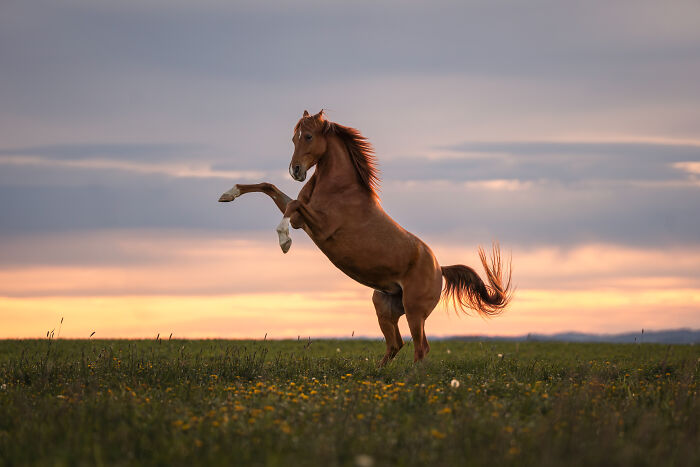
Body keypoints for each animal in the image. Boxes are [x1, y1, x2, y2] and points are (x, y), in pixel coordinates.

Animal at [216, 110, 512, 366]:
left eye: (308, 136)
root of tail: (440, 268)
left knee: (421, 348)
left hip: (415, 311)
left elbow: (292, 206)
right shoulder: (303, 221)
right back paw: (377, 374)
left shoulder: (321, 226)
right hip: (384, 305)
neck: (339, 188)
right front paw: (228, 194)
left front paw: (284, 241)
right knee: (396, 345)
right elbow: (269, 187)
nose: (296, 171)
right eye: (293, 138)